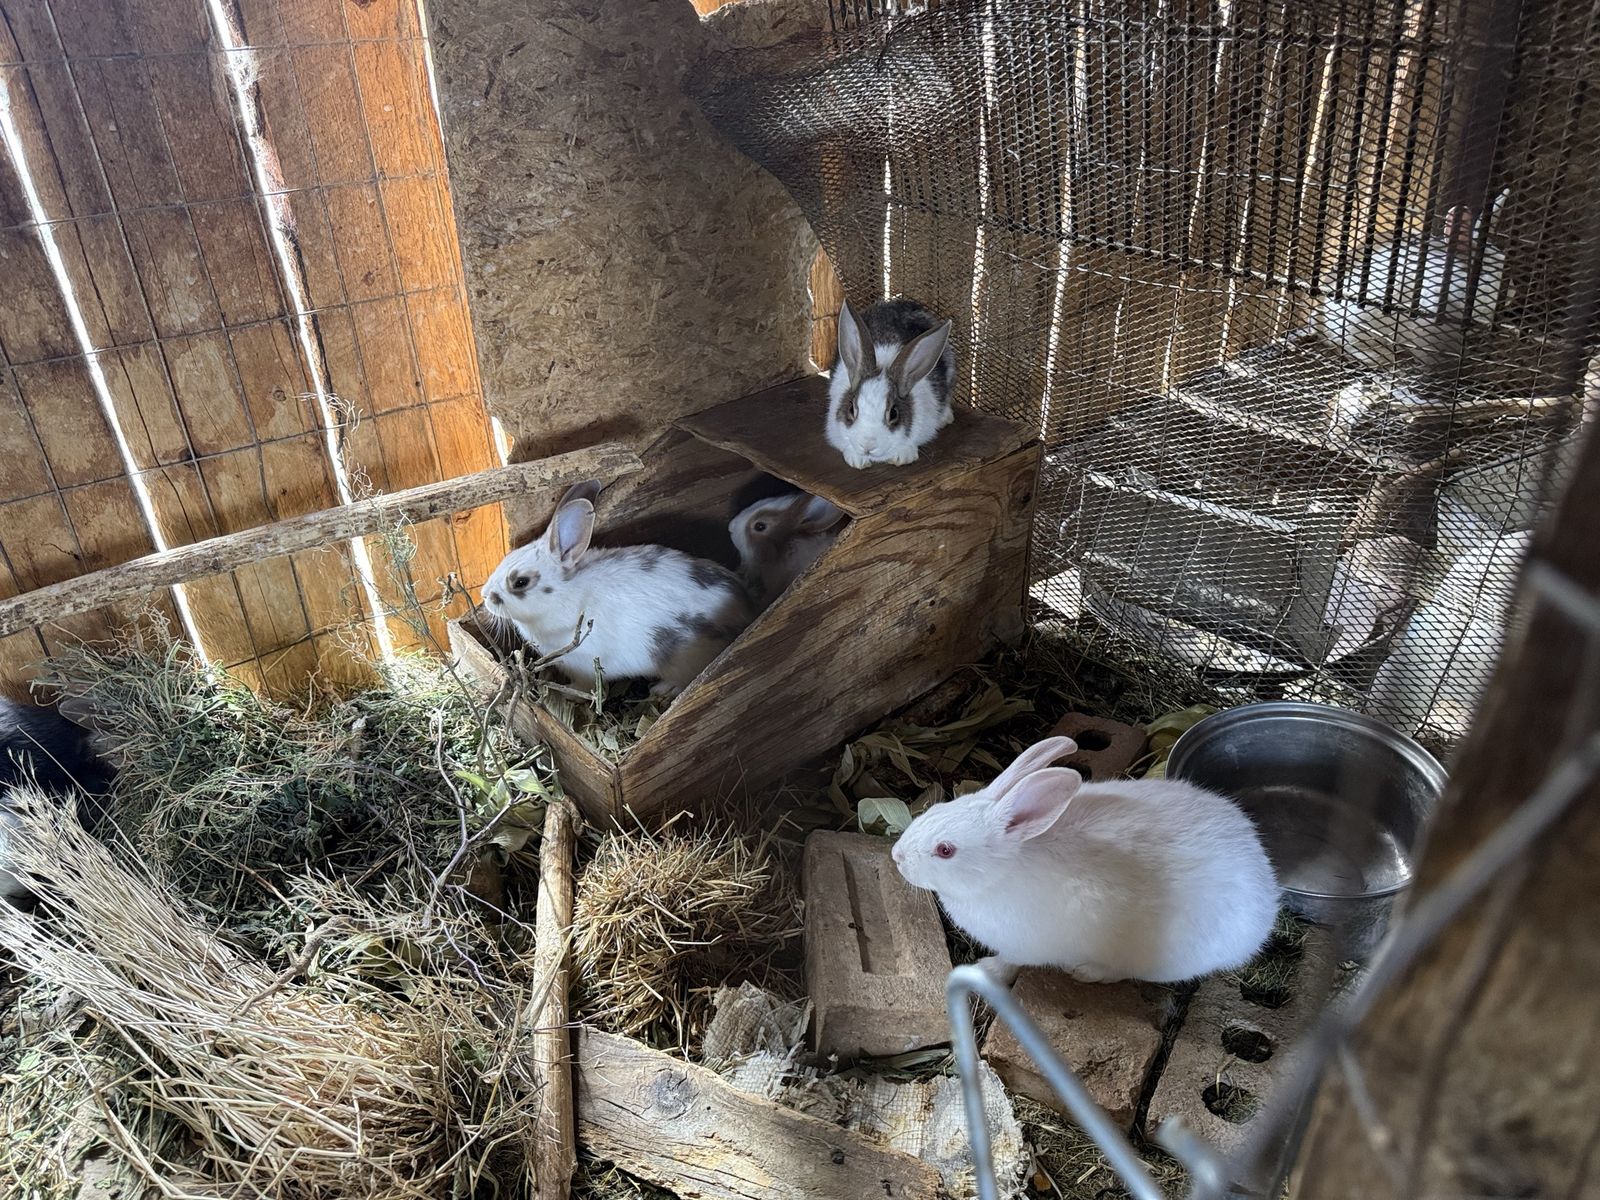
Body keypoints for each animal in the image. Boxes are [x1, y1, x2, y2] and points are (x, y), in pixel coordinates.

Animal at [481, 480, 755, 698]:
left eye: (520, 582)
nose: (484, 595)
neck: (563, 596)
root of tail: (746, 609)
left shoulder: (583, 666)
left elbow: (585, 686)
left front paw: (569, 694)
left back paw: (663, 689)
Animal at [891, 735, 1280, 985]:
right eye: (938, 808)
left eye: (945, 850)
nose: (897, 856)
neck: (1001, 871)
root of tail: (1265, 904)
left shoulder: (1022, 946)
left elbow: (1009, 963)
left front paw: (986, 971)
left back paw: (1085, 972)